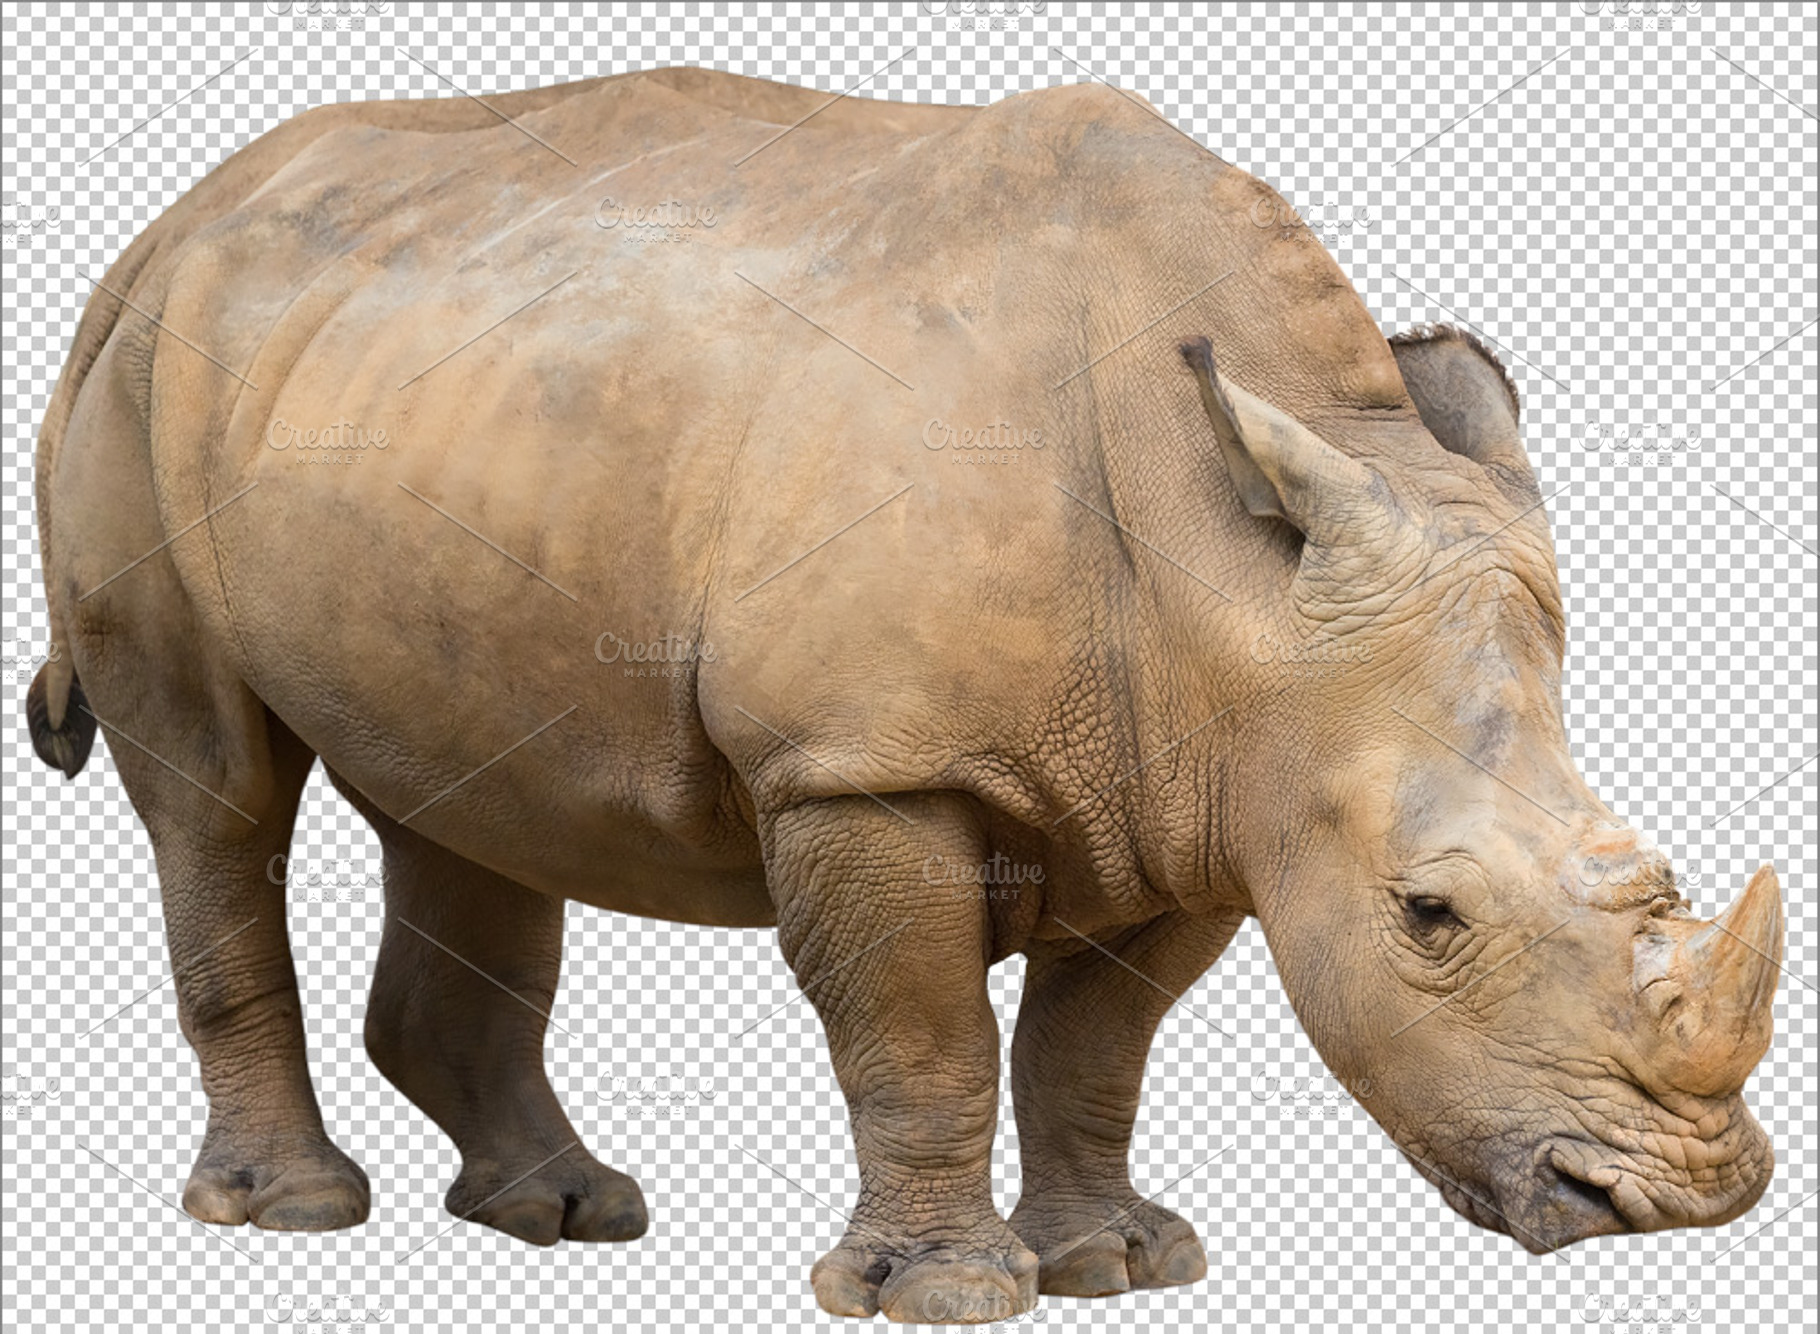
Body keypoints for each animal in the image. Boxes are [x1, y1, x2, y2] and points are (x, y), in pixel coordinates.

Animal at [28, 67, 1783, 1324]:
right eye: (1430, 914)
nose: (1678, 1201)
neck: (1228, 586)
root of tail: (163, 228)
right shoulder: (863, 760)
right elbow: (921, 1024)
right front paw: (942, 1291)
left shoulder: (1197, 788)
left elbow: (1095, 1036)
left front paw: (1118, 1262)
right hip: (140, 388)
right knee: (218, 795)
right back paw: (294, 1208)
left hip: (416, 404)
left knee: (464, 794)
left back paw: (564, 1211)